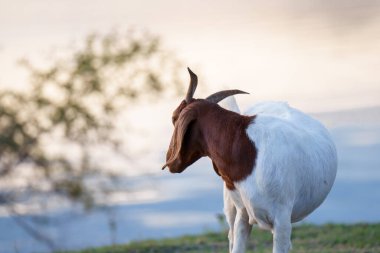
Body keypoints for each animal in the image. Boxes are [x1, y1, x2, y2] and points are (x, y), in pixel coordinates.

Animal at [162, 67, 336, 253]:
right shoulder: (243, 214)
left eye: (173, 118)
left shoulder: (282, 221)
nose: (170, 160)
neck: (245, 149)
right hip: (230, 206)